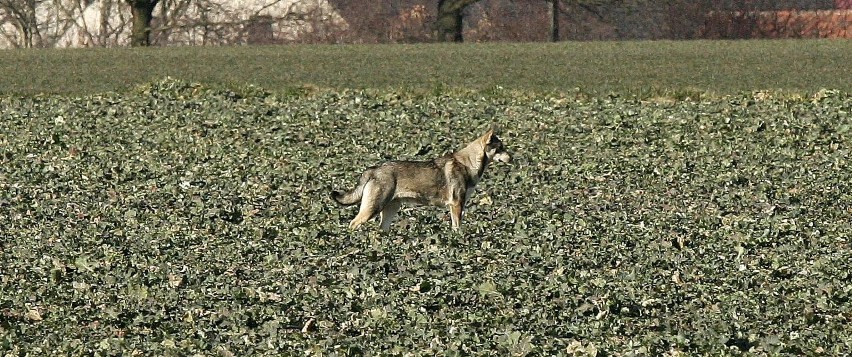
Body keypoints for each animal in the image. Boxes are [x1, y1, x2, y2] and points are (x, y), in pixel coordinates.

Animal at [330, 129, 510, 231]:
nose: (512, 158)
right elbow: (457, 228)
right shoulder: (456, 205)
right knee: (353, 224)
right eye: (500, 148)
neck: (469, 163)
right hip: (372, 209)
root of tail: (373, 169)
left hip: (389, 210)